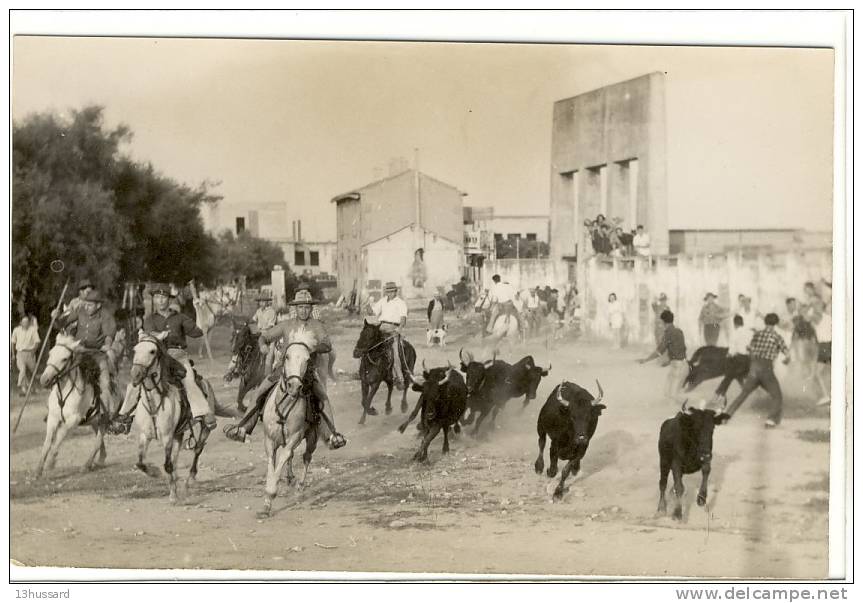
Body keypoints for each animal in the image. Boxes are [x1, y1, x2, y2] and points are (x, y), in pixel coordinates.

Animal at [36, 332, 109, 478]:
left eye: (64, 359)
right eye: (51, 353)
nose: (44, 379)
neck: (64, 393)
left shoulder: (73, 419)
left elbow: (60, 435)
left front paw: (50, 463)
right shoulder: (52, 418)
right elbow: (47, 442)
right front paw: (39, 469)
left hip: (103, 419)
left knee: (98, 439)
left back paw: (86, 465)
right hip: (94, 421)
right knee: (99, 439)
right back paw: (99, 460)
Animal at [129, 332, 212, 502]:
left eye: (152, 351)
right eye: (135, 350)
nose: (135, 375)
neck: (154, 401)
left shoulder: (166, 437)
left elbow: (167, 465)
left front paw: (173, 494)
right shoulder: (144, 436)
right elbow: (140, 463)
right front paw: (156, 473)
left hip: (205, 427)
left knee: (197, 449)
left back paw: (190, 480)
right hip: (178, 434)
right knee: (176, 457)